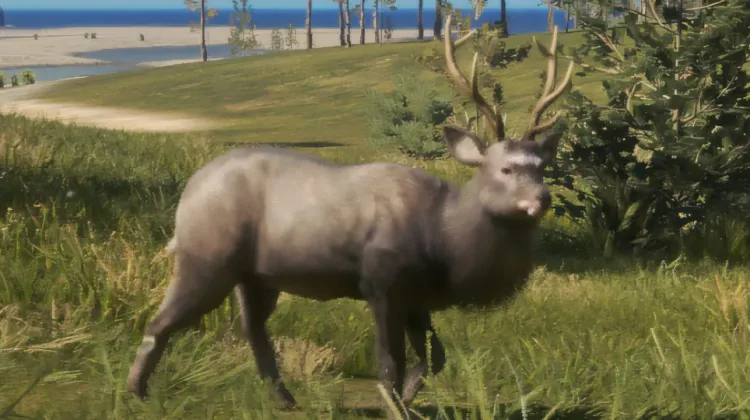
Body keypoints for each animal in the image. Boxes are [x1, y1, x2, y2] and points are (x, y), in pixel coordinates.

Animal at [126, 16, 574, 419]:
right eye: (505, 169)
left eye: (542, 167)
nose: (542, 198)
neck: (444, 239)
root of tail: (189, 190)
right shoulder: (382, 281)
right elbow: (390, 362)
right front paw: (394, 405)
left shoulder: (418, 294)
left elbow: (435, 357)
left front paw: (408, 401)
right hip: (207, 253)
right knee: (161, 321)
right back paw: (137, 392)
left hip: (255, 274)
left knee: (253, 330)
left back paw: (285, 399)